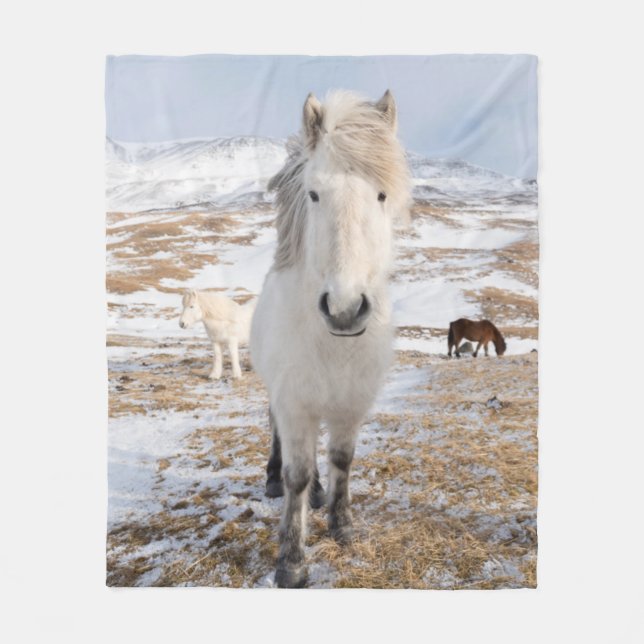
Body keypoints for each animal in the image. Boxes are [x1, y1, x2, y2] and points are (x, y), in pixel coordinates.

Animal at [250, 90, 411, 587]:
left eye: (381, 194)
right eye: (314, 193)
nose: (344, 308)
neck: (335, 343)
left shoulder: (351, 405)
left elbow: (342, 459)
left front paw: (342, 525)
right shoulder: (294, 403)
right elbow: (298, 474)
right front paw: (292, 561)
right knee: (278, 440)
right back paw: (274, 480)